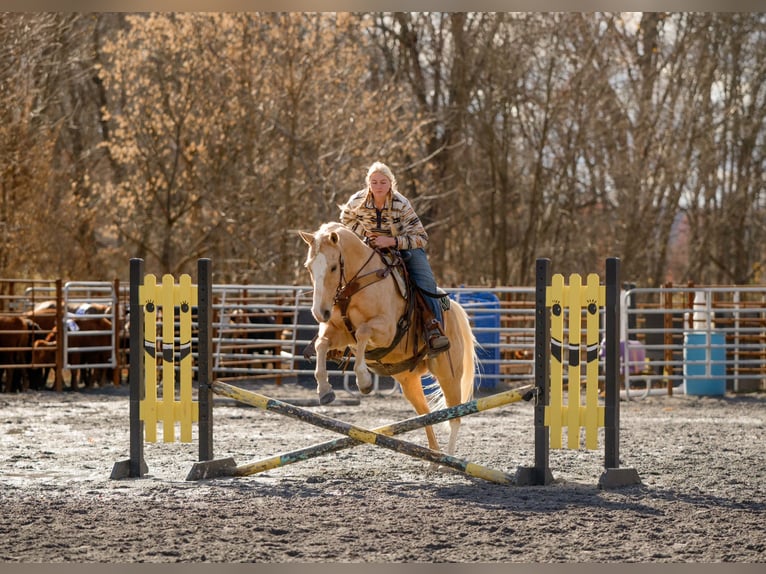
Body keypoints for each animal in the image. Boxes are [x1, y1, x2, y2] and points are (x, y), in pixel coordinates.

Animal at [299, 221, 478, 456]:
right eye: (309, 267)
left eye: (333, 268)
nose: (320, 313)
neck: (357, 284)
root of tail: (454, 309)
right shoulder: (339, 333)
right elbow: (322, 344)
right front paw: (324, 390)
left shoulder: (386, 330)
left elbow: (363, 332)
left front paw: (364, 381)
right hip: (408, 380)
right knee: (426, 415)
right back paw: (433, 455)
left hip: (449, 374)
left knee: (454, 416)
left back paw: (448, 458)